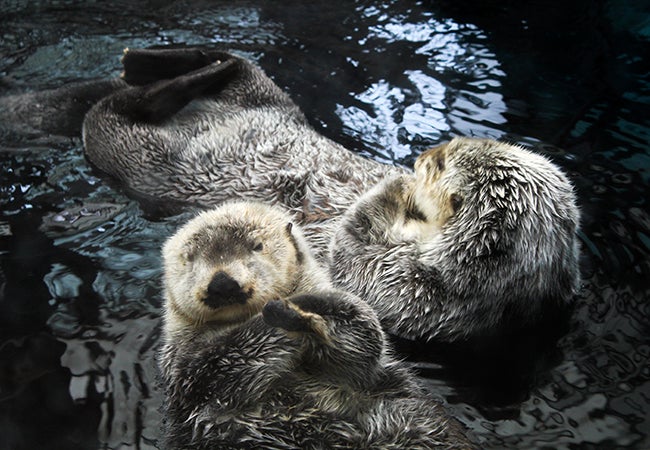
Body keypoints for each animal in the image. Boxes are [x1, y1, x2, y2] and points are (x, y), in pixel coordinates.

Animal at [159, 202, 474, 450]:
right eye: (189, 258)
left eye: (257, 246)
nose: (222, 282)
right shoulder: (183, 370)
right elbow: (213, 370)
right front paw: (279, 318)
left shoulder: (364, 367)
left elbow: (365, 343)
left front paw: (306, 308)